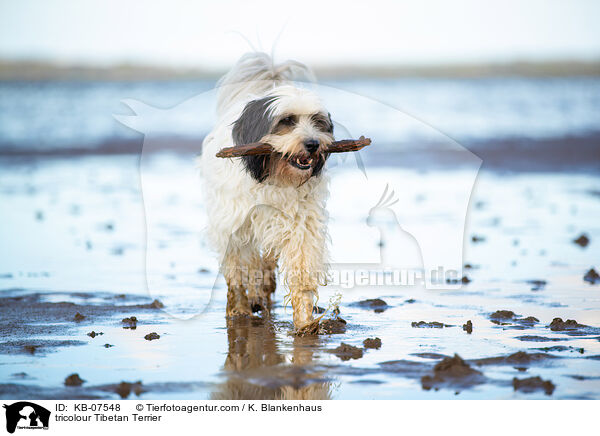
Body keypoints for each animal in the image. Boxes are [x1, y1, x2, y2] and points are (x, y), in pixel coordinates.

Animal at [200, 52, 332, 330]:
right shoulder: (235, 224)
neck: (274, 176)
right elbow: (238, 270)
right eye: (287, 121)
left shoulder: (301, 223)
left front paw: (304, 319)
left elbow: (300, 264)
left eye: (317, 121)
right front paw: (239, 309)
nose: (313, 144)